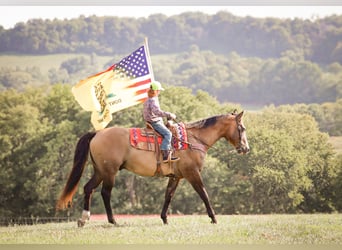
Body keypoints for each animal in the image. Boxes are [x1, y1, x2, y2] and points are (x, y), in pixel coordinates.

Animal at [55, 110, 248, 226]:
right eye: (242, 128)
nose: (246, 148)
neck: (193, 140)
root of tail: (98, 133)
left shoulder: (175, 177)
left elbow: (168, 196)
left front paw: (164, 219)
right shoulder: (192, 174)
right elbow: (204, 194)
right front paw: (213, 218)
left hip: (100, 171)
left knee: (88, 188)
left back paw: (83, 219)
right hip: (109, 172)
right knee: (105, 193)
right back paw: (113, 220)